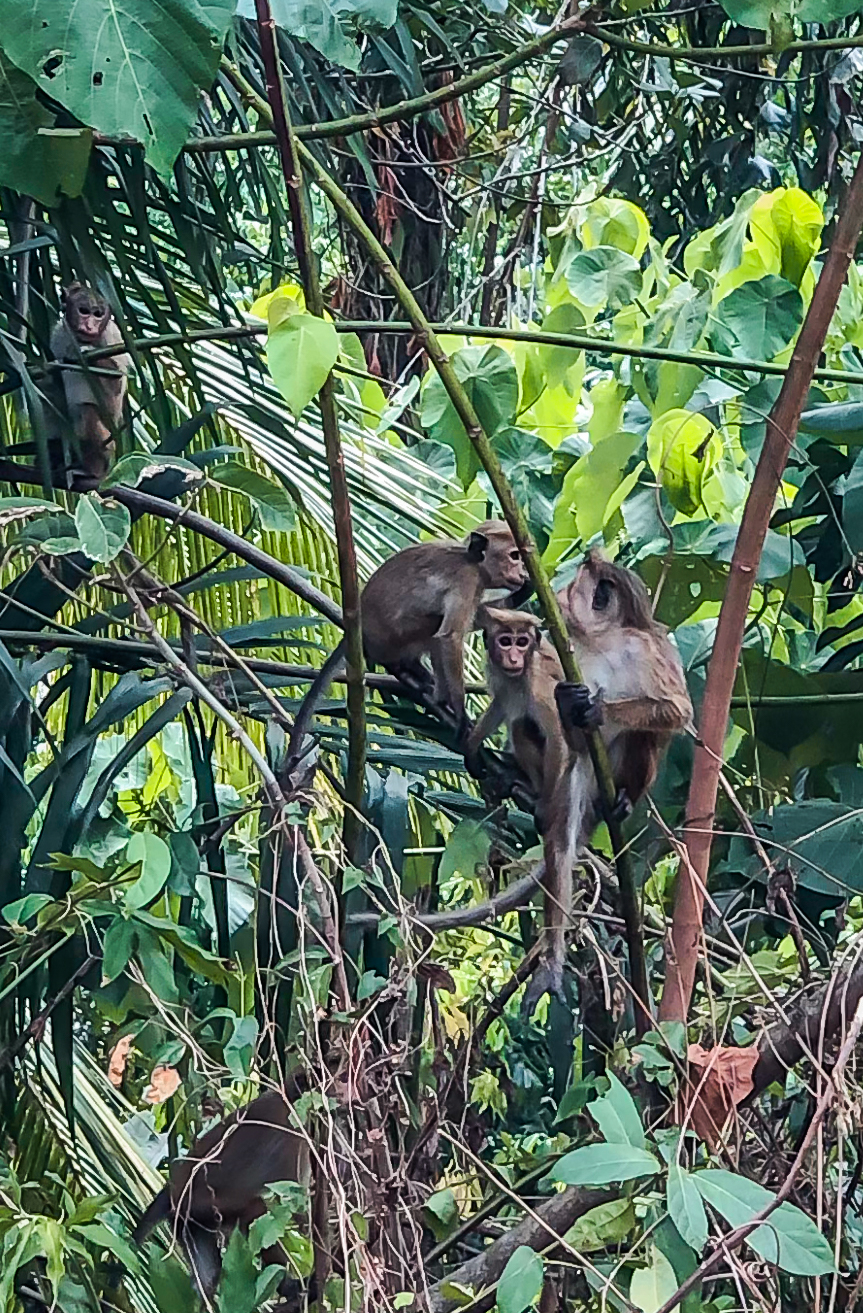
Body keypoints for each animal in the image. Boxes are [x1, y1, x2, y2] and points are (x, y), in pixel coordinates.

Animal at [49, 279, 129, 480]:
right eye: (83, 310)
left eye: (98, 314)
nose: (90, 326)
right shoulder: (59, 334)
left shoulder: (111, 335)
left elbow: (116, 383)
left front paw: (85, 352)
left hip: (108, 447)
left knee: (87, 412)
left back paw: (92, 470)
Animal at [132, 1087, 311, 1302]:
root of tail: (173, 1190)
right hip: (204, 1205)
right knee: (253, 1210)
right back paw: (289, 1287)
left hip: (188, 1221)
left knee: (206, 1278)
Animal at [287, 517, 525, 766]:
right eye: (514, 556)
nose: (522, 572)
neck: (472, 561)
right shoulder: (467, 580)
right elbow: (450, 636)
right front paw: (460, 713)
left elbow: (484, 616)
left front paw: (524, 592)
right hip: (393, 636)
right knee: (436, 625)